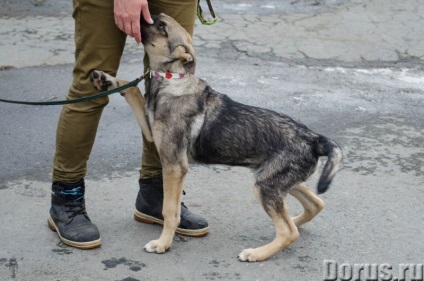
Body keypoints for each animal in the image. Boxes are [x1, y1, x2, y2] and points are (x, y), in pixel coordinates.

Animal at [88, 14, 342, 262]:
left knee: (289, 232)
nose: (132, 15)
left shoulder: (174, 165)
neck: (171, 78)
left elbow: (169, 211)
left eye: (161, 26)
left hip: (266, 185)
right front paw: (106, 80)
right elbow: (130, 89)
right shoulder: (151, 132)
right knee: (314, 206)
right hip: (279, 180)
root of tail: (315, 138)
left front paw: (163, 244)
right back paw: (291, 222)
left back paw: (256, 253)